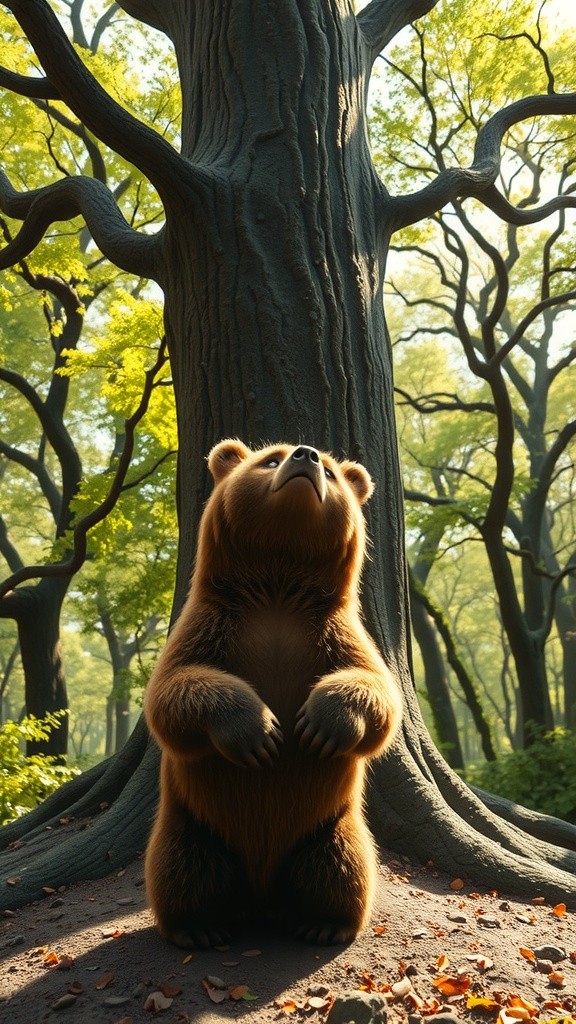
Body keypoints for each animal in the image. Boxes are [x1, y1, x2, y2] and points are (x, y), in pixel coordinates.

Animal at [144, 439, 401, 948]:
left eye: (332, 471)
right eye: (270, 458)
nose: (306, 456)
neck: (277, 587)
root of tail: (261, 897)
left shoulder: (333, 635)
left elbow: (376, 691)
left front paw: (319, 725)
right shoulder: (212, 627)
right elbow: (173, 691)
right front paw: (259, 732)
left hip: (327, 828)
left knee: (342, 867)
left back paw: (323, 923)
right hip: (193, 825)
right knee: (182, 869)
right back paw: (199, 926)